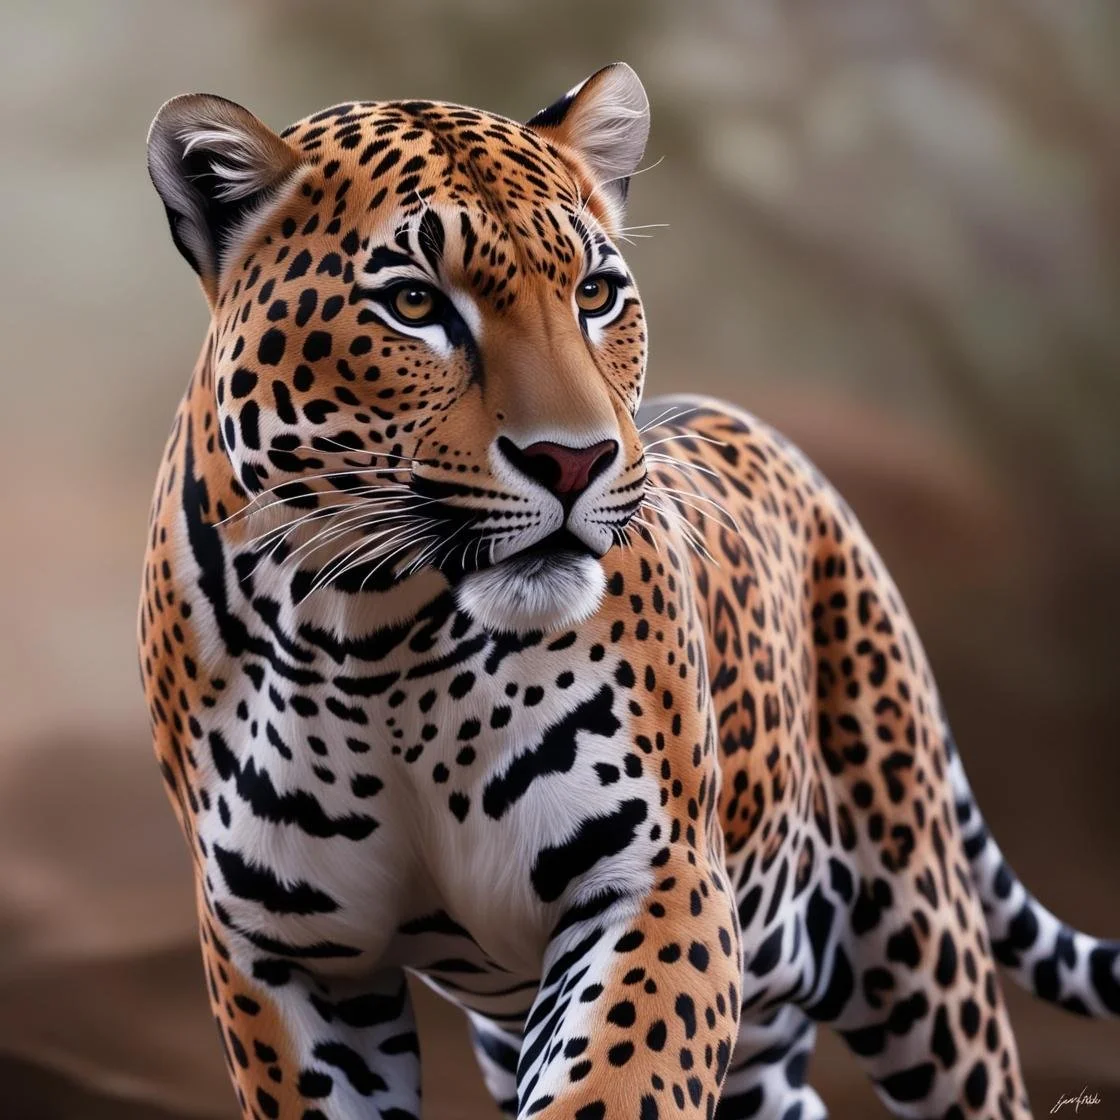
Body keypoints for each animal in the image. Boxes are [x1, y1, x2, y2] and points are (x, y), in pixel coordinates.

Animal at [139, 63, 1119, 1120]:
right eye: (411, 302)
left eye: (596, 293)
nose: (575, 462)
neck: (374, 634)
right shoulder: (280, 954)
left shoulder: (656, 877)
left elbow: (620, 1082)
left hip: (917, 935)